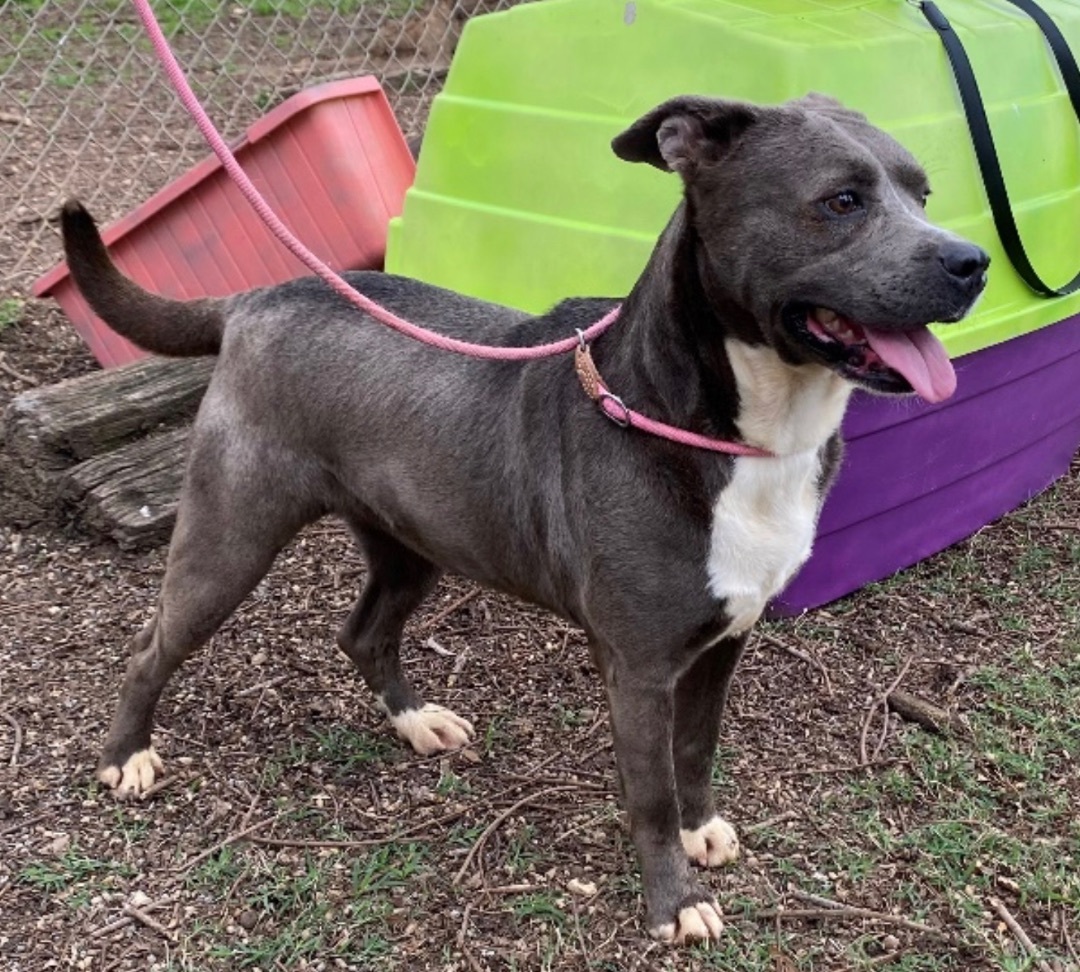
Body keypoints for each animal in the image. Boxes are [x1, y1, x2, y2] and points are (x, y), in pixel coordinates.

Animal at [59, 92, 989, 941]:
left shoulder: (726, 639)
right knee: (153, 644)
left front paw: (700, 833)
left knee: (363, 633)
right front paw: (673, 901)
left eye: (924, 193)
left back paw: (416, 721)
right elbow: (650, 793)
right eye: (842, 200)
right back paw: (125, 757)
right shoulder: (639, 666)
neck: (731, 430)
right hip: (231, 536)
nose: (973, 262)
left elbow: (695, 753)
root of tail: (254, 297)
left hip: (411, 542)